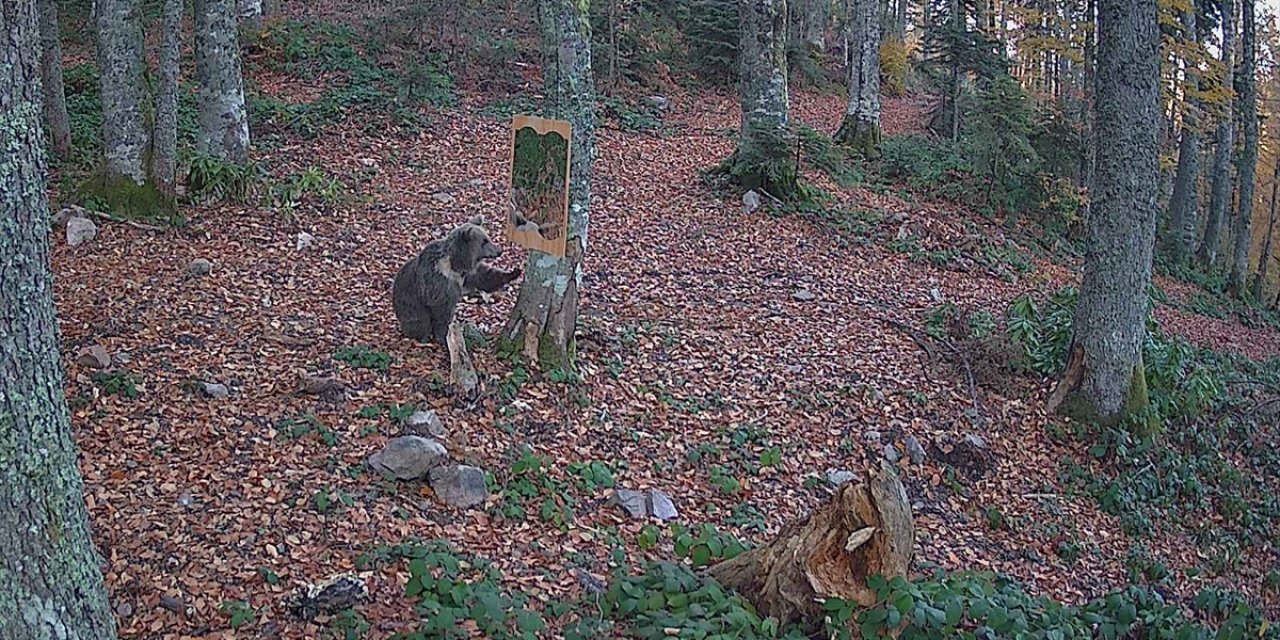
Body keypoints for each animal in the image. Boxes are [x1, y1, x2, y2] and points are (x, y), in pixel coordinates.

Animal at [394, 215, 524, 345]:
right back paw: (423, 337)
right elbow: (441, 309)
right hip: (411, 303)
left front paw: (514, 272)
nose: (499, 250)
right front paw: (444, 336)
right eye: (484, 241)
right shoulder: (438, 281)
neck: (456, 264)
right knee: (420, 321)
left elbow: (485, 277)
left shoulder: (467, 275)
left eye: (487, 237)